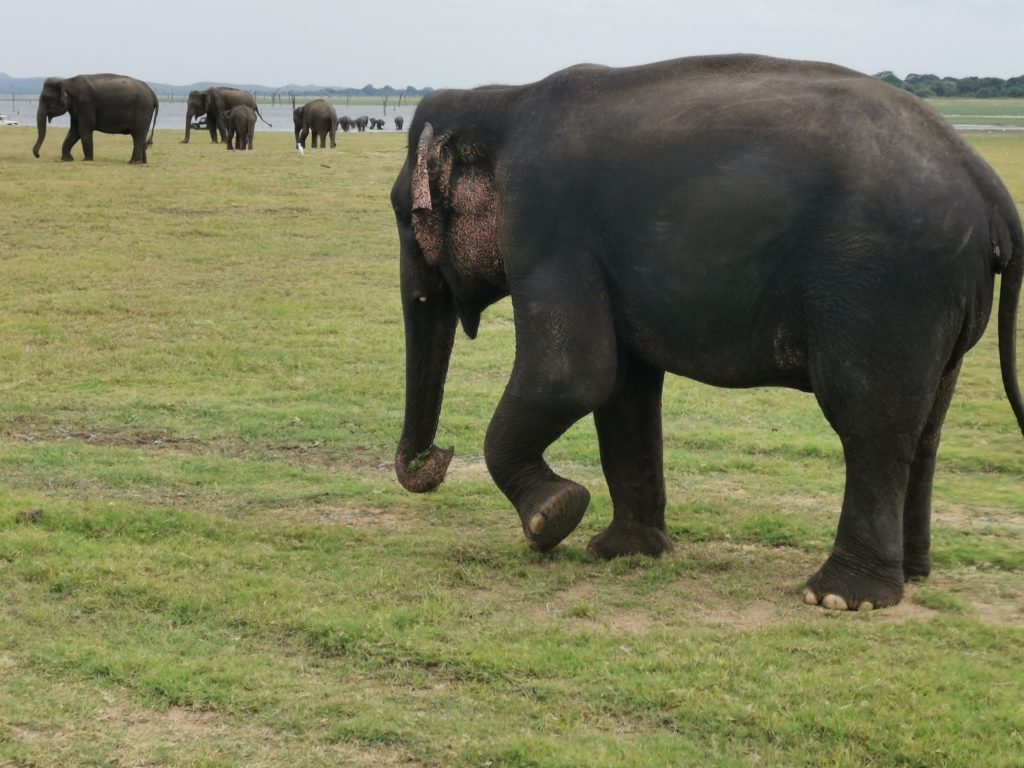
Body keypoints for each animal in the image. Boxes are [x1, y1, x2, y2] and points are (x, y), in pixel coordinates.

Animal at [389, 52, 1024, 614]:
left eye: (402, 212)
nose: (437, 456)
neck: (503, 99)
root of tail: (989, 188)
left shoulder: (545, 224)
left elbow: (575, 375)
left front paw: (554, 516)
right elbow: (624, 391)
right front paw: (623, 554)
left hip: (886, 288)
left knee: (869, 420)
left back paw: (841, 598)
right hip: (937, 301)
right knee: (926, 428)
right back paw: (912, 576)